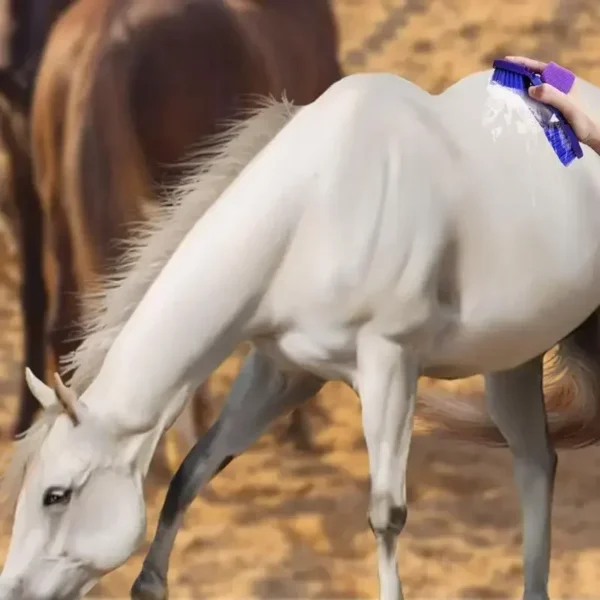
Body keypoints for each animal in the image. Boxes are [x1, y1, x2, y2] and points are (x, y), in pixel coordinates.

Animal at [1, 65, 600, 600]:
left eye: (56, 495)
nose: (13, 590)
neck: (317, 208)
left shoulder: (390, 364)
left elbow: (386, 514)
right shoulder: (284, 371)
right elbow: (196, 467)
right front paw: (150, 584)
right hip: (512, 360)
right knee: (535, 464)